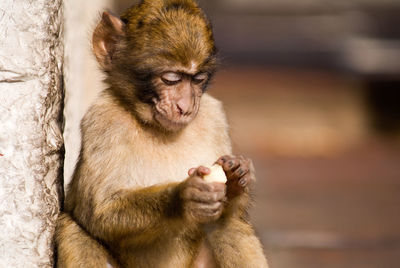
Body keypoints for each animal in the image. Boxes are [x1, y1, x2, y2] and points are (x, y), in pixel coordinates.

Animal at [55, 0, 268, 266]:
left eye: (198, 79)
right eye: (171, 79)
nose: (185, 107)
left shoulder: (214, 115)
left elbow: (232, 215)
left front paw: (238, 174)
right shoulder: (102, 120)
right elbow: (99, 212)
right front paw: (183, 197)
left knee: (229, 226)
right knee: (72, 230)